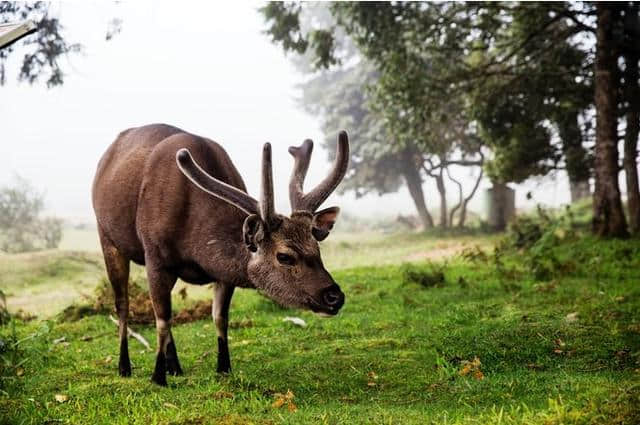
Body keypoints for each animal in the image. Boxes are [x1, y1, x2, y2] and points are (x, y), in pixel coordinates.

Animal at [92, 122, 348, 384]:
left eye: (317, 248)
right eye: (284, 256)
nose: (334, 296)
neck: (195, 242)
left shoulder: (224, 275)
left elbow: (219, 317)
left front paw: (224, 366)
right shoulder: (155, 257)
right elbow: (162, 319)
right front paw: (157, 376)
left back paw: (175, 366)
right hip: (107, 237)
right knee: (122, 303)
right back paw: (125, 366)